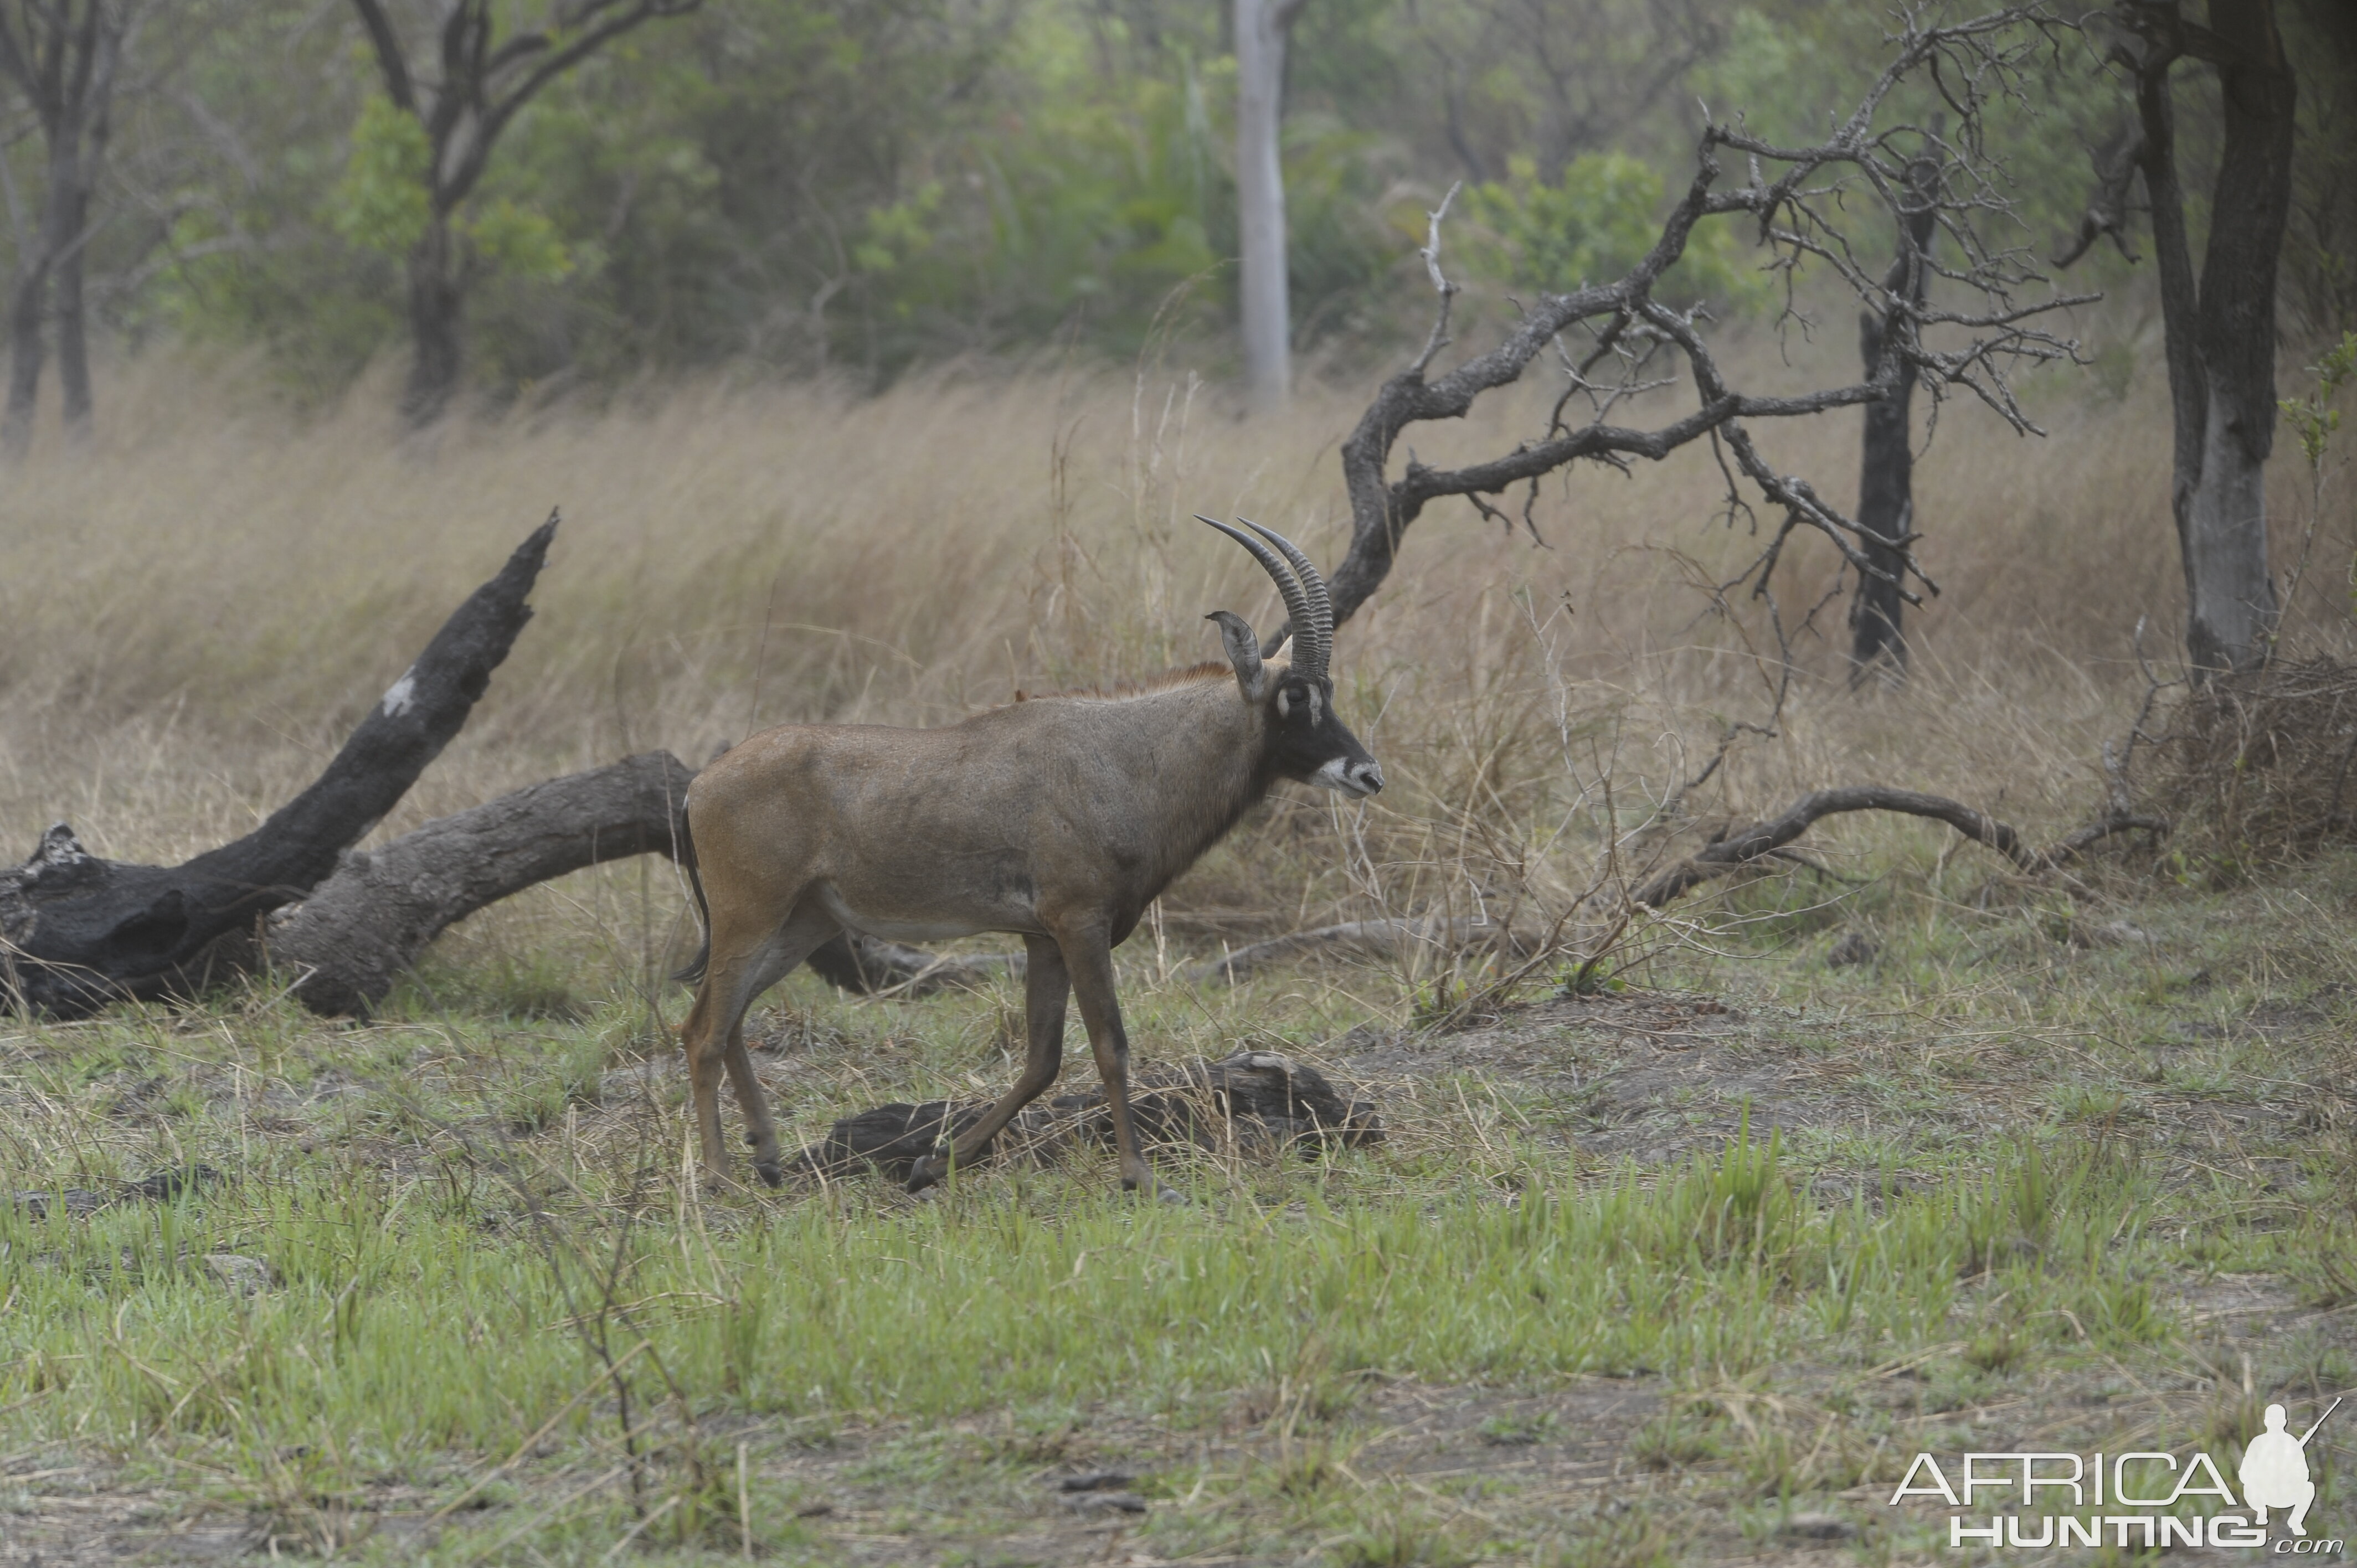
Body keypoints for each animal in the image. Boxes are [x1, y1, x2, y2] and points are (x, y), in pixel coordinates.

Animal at [674, 518, 1376, 1193]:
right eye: (1295, 696)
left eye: (1327, 689)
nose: (1368, 775)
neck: (1126, 757)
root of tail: (700, 785)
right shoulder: (1078, 924)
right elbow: (1109, 1046)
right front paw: (1139, 1177)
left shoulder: (1042, 939)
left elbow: (1043, 1060)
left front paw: (935, 1164)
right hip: (750, 916)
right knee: (703, 1030)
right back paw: (718, 1179)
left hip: (803, 923)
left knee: (730, 1020)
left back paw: (767, 1159)